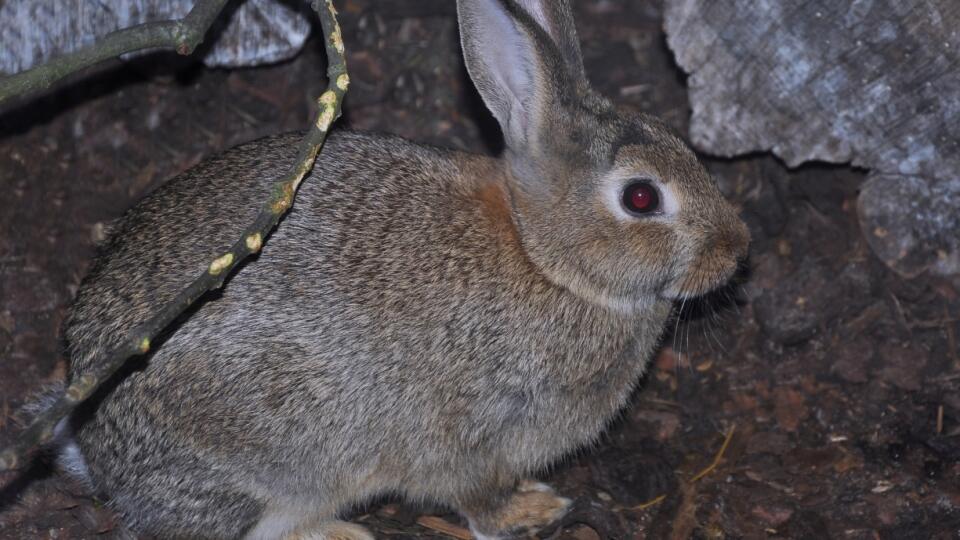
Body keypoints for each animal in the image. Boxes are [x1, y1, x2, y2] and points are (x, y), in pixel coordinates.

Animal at [56, 1, 752, 540]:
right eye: (641, 198)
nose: (736, 249)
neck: (545, 257)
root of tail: (98, 456)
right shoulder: (471, 434)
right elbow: (473, 496)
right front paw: (530, 511)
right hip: (276, 464)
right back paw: (344, 532)